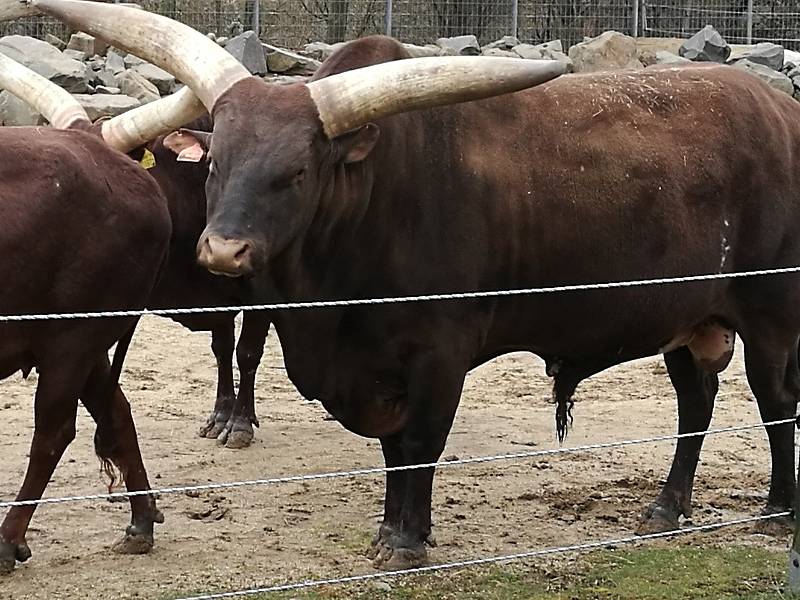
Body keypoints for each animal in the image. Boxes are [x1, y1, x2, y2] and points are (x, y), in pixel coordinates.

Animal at [23, 0, 800, 576]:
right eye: (216, 164)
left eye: (296, 172)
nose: (222, 250)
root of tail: (778, 112)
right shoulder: (374, 362)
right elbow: (393, 452)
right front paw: (392, 527)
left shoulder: (437, 354)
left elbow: (420, 443)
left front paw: (406, 541)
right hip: (689, 319)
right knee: (696, 406)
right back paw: (667, 507)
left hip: (769, 314)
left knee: (775, 403)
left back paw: (777, 509)